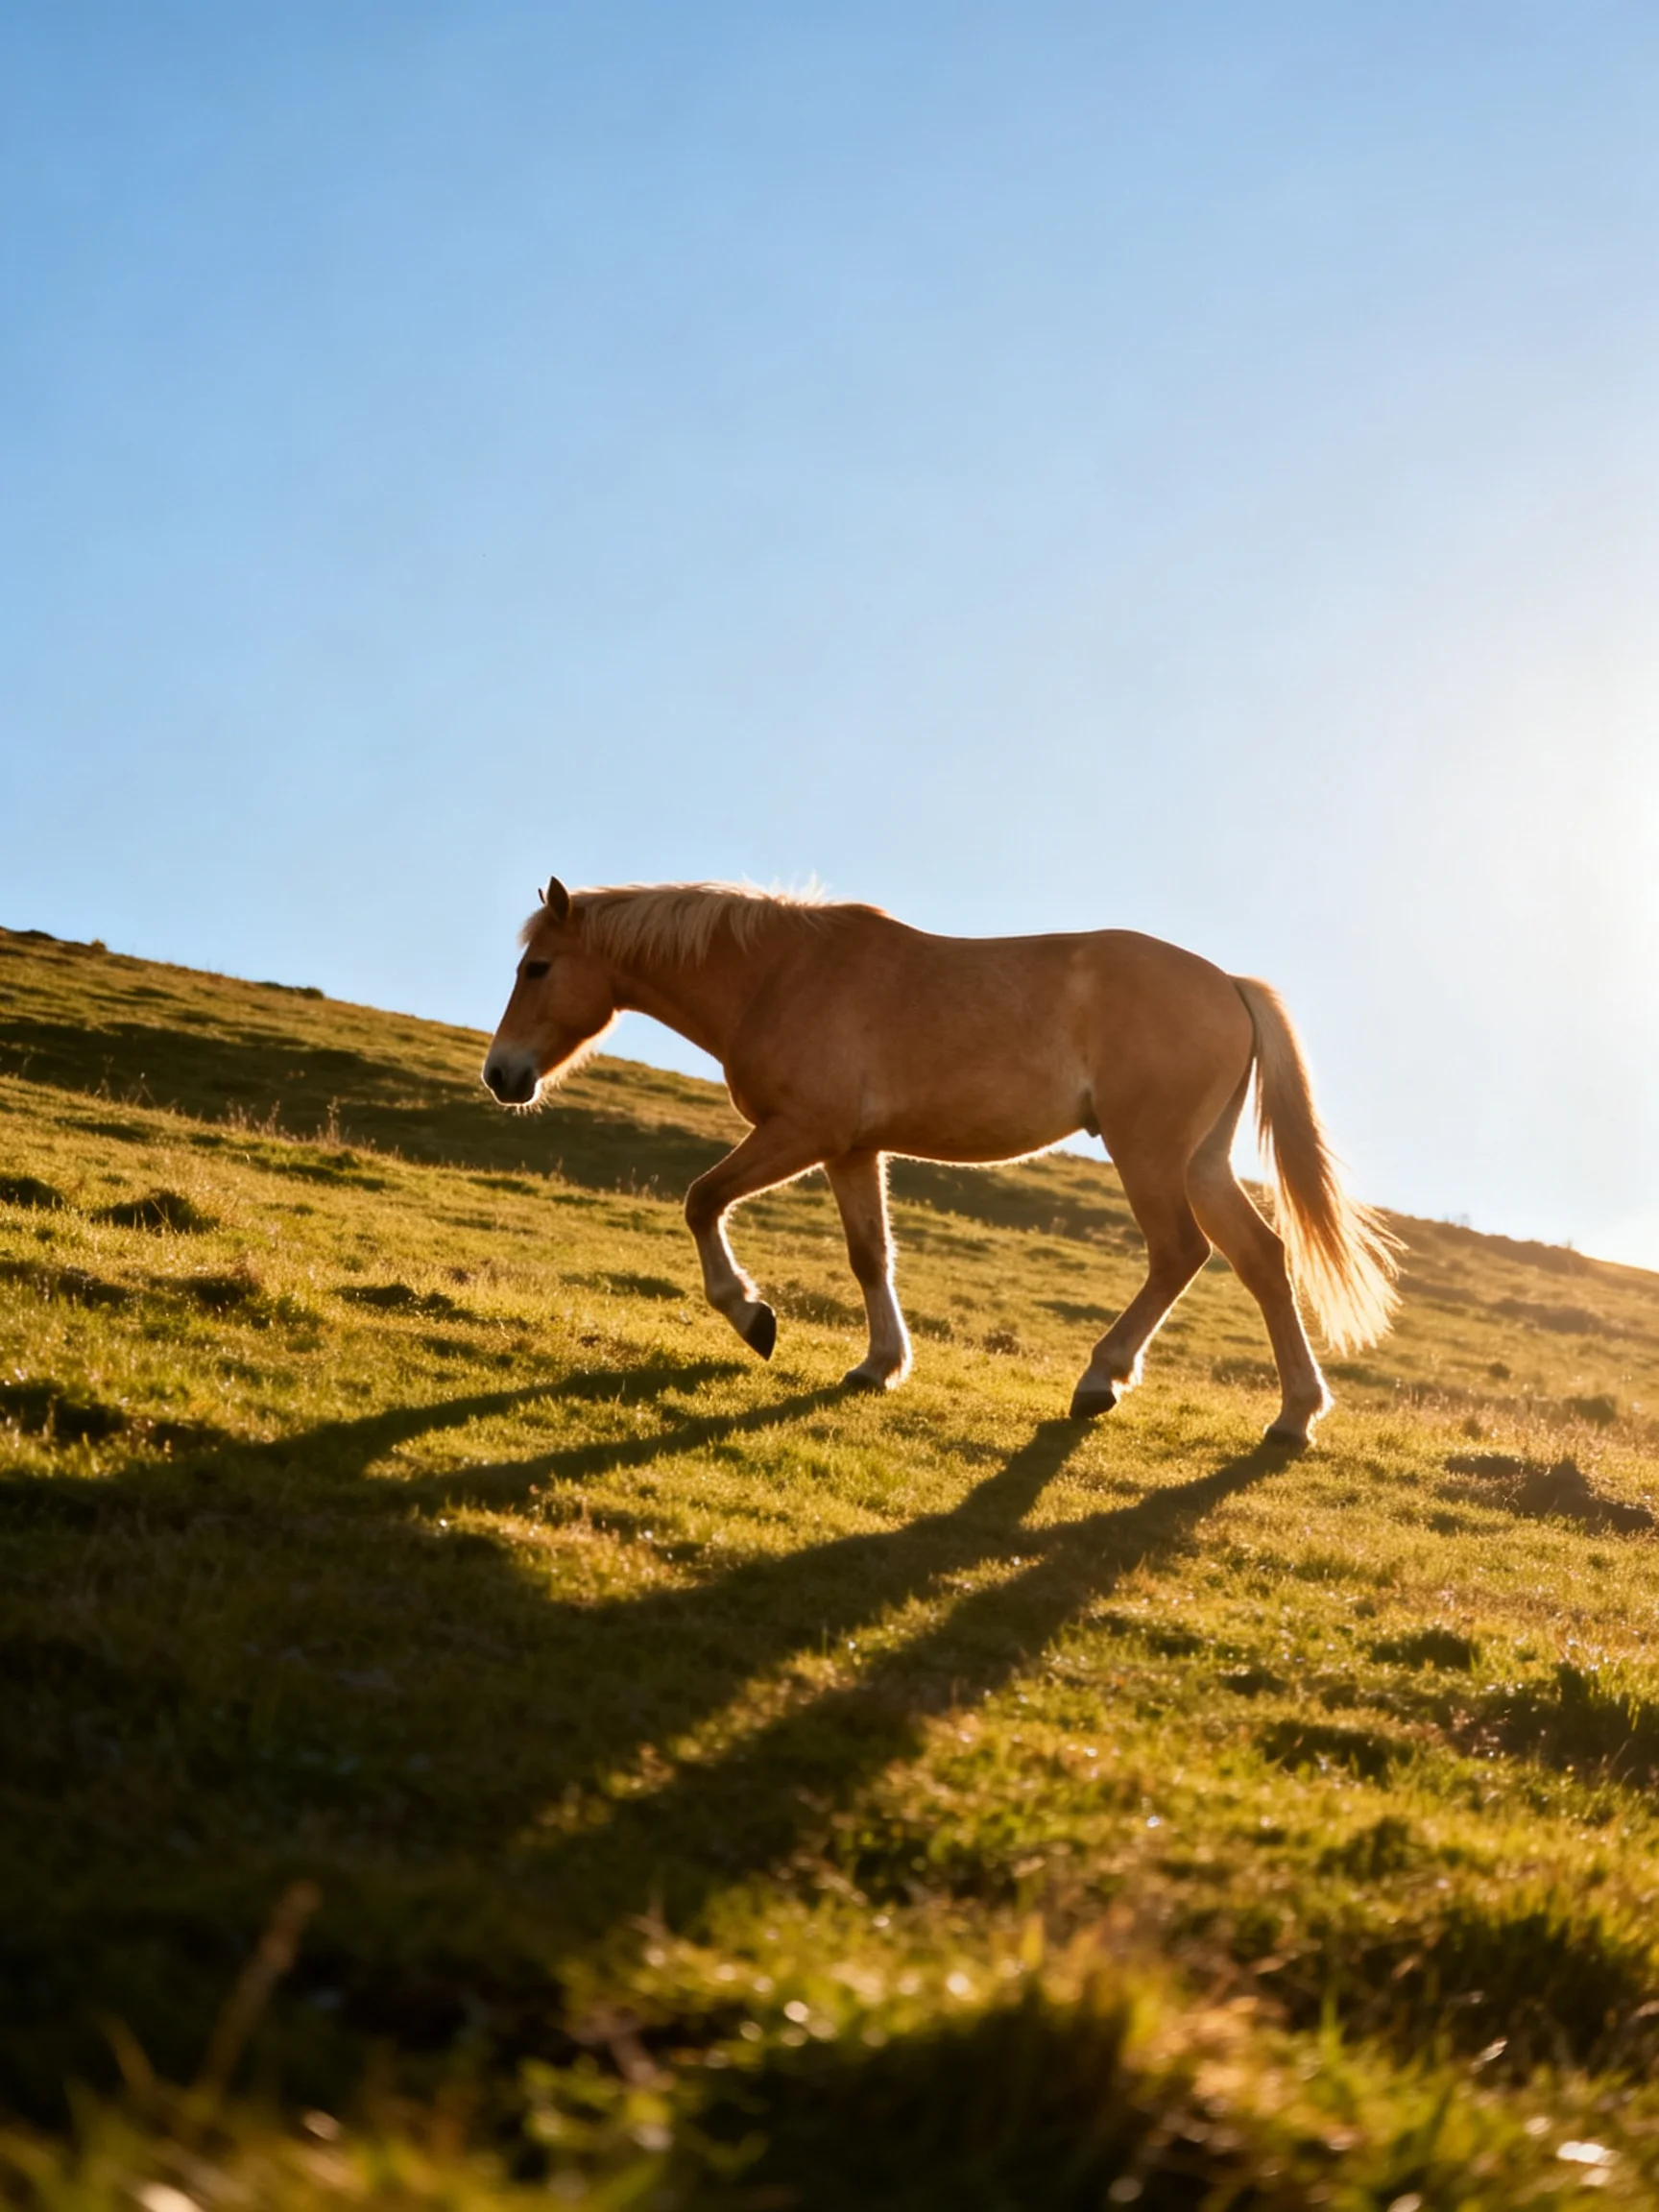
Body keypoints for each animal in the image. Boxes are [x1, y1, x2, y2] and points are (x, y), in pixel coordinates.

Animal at [482, 879, 1398, 1445]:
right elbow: (869, 1256)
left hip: (1150, 1154)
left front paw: (753, 1316)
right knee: (1262, 1259)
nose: (502, 1075)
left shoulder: (801, 1133)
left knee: (1180, 1254)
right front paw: (879, 1364)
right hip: (1201, 1162)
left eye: (538, 967)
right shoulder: (852, 1151)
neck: (778, 975)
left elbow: (702, 1199)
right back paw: (1294, 1416)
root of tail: (1230, 984)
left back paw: (1101, 1379)